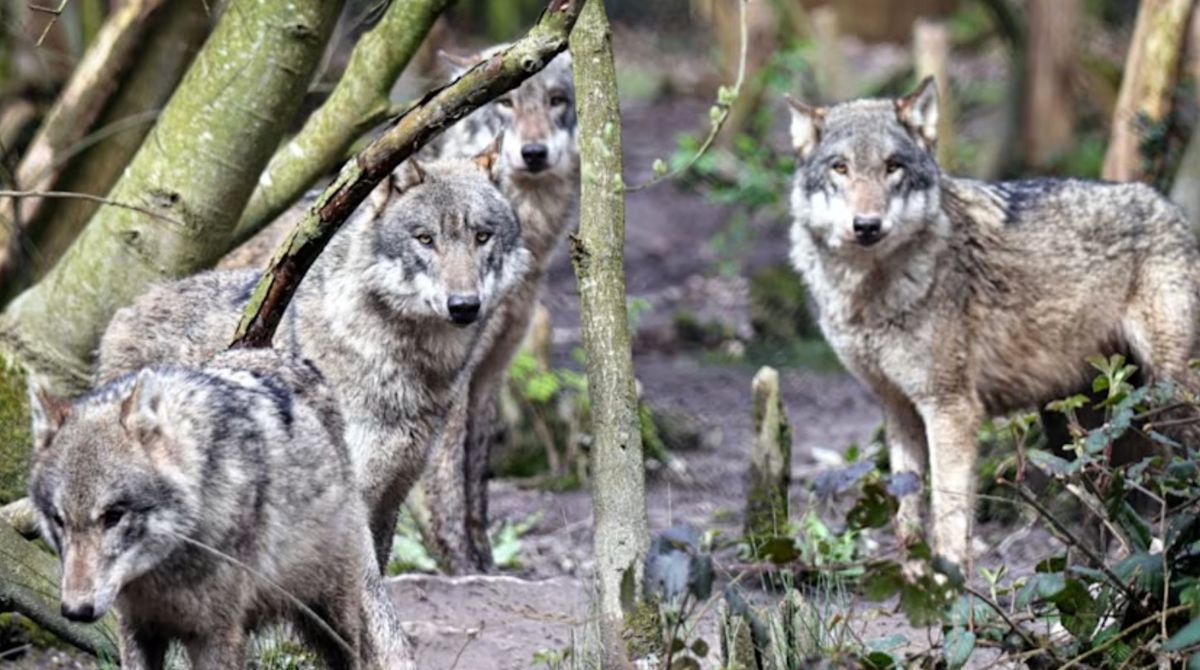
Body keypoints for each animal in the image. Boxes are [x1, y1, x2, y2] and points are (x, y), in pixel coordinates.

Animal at [29, 348, 413, 669]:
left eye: (113, 516)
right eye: (59, 520)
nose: (75, 611)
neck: (165, 571)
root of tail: (290, 356)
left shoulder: (216, 634)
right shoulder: (137, 628)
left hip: (332, 615)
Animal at [417, 47, 580, 573]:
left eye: (556, 100)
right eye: (506, 103)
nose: (533, 153)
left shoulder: (491, 371)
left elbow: (477, 478)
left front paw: (485, 563)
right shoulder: (451, 381)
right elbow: (446, 483)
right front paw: (461, 569)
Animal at [786, 77, 1200, 570]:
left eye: (892, 167)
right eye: (840, 167)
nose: (867, 225)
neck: (871, 292)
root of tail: (1173, 209)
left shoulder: (952, 408)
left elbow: (948, 518)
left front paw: (947, 581)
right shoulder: (899, 408)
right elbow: (907, 516)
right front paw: (912, 580)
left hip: (1169, 397)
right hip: (1077, 427)